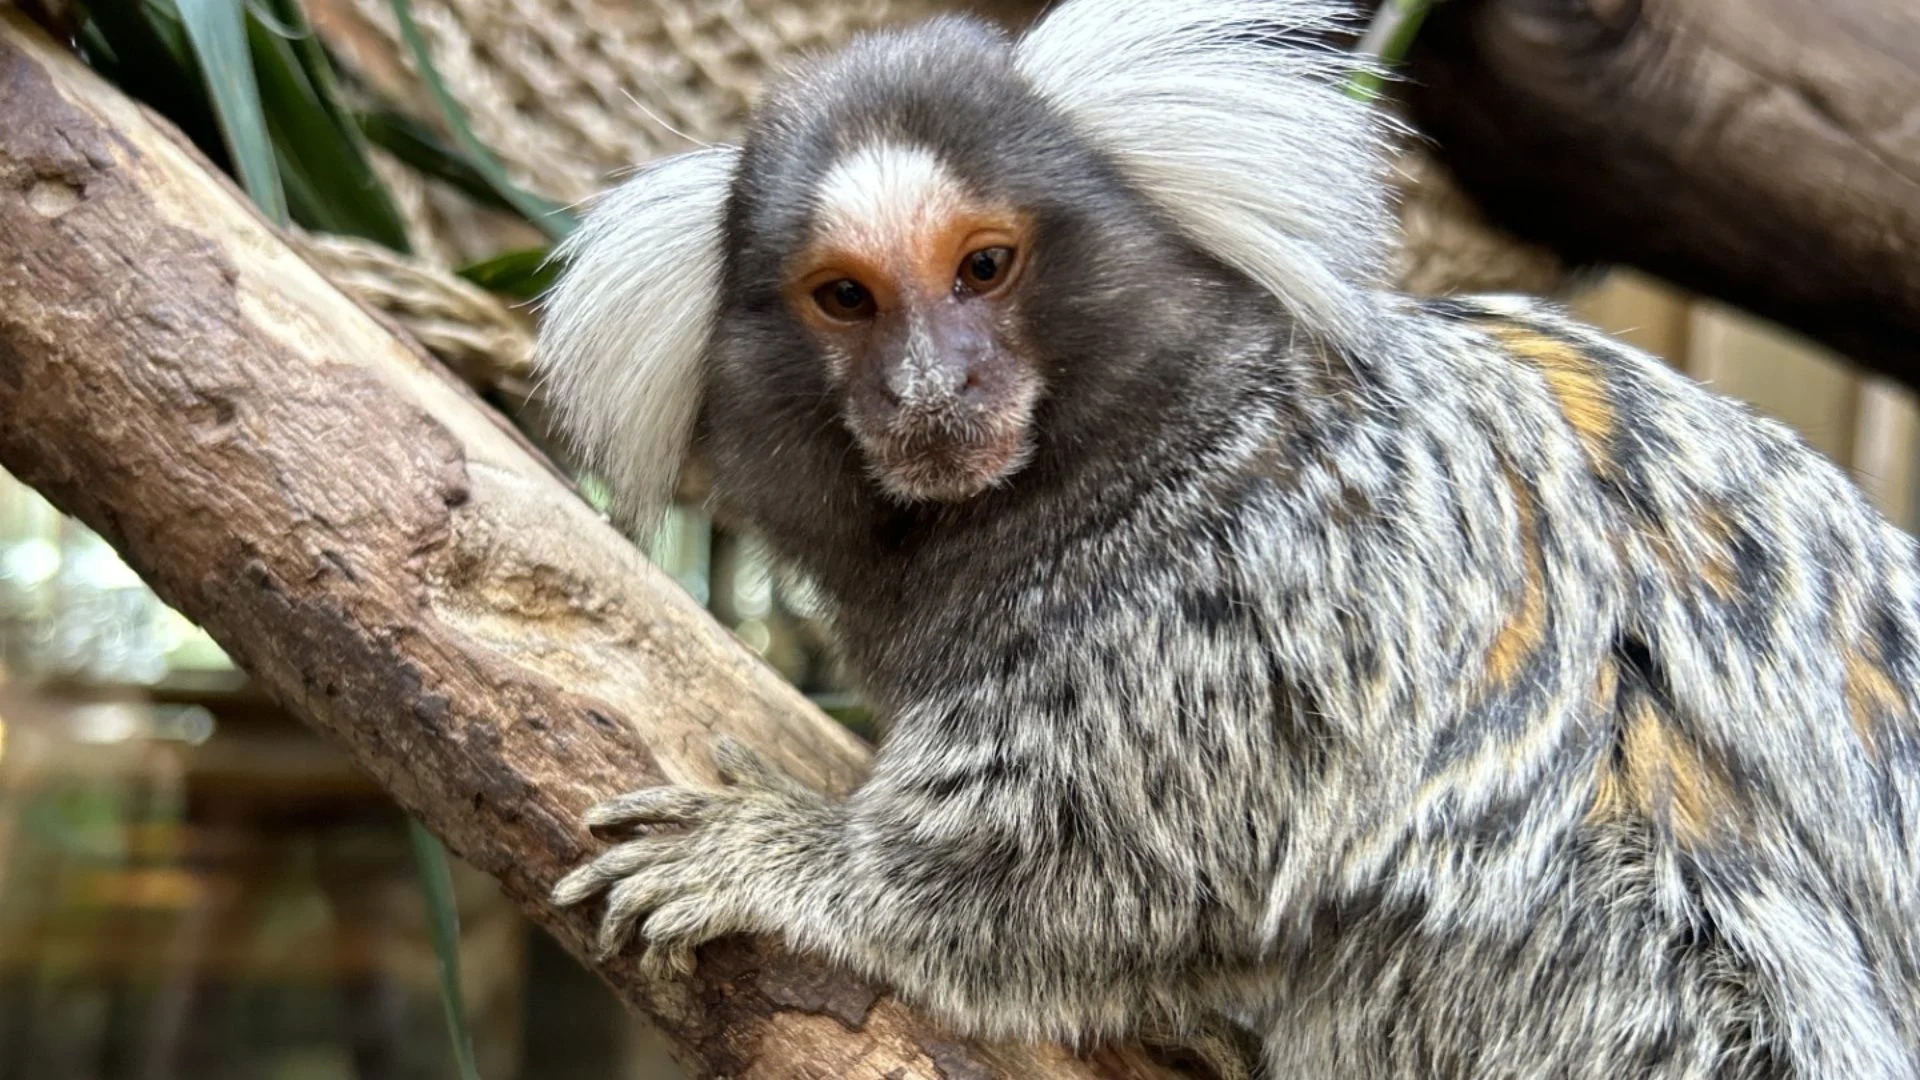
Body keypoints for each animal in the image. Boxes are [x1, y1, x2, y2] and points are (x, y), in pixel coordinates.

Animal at [532, 0, 1920, 1075]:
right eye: (845, 298)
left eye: (984, 266)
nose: (931, 387)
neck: (1133, 453)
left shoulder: (1247, 574)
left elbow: (1097, 869)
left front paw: (790, 858)